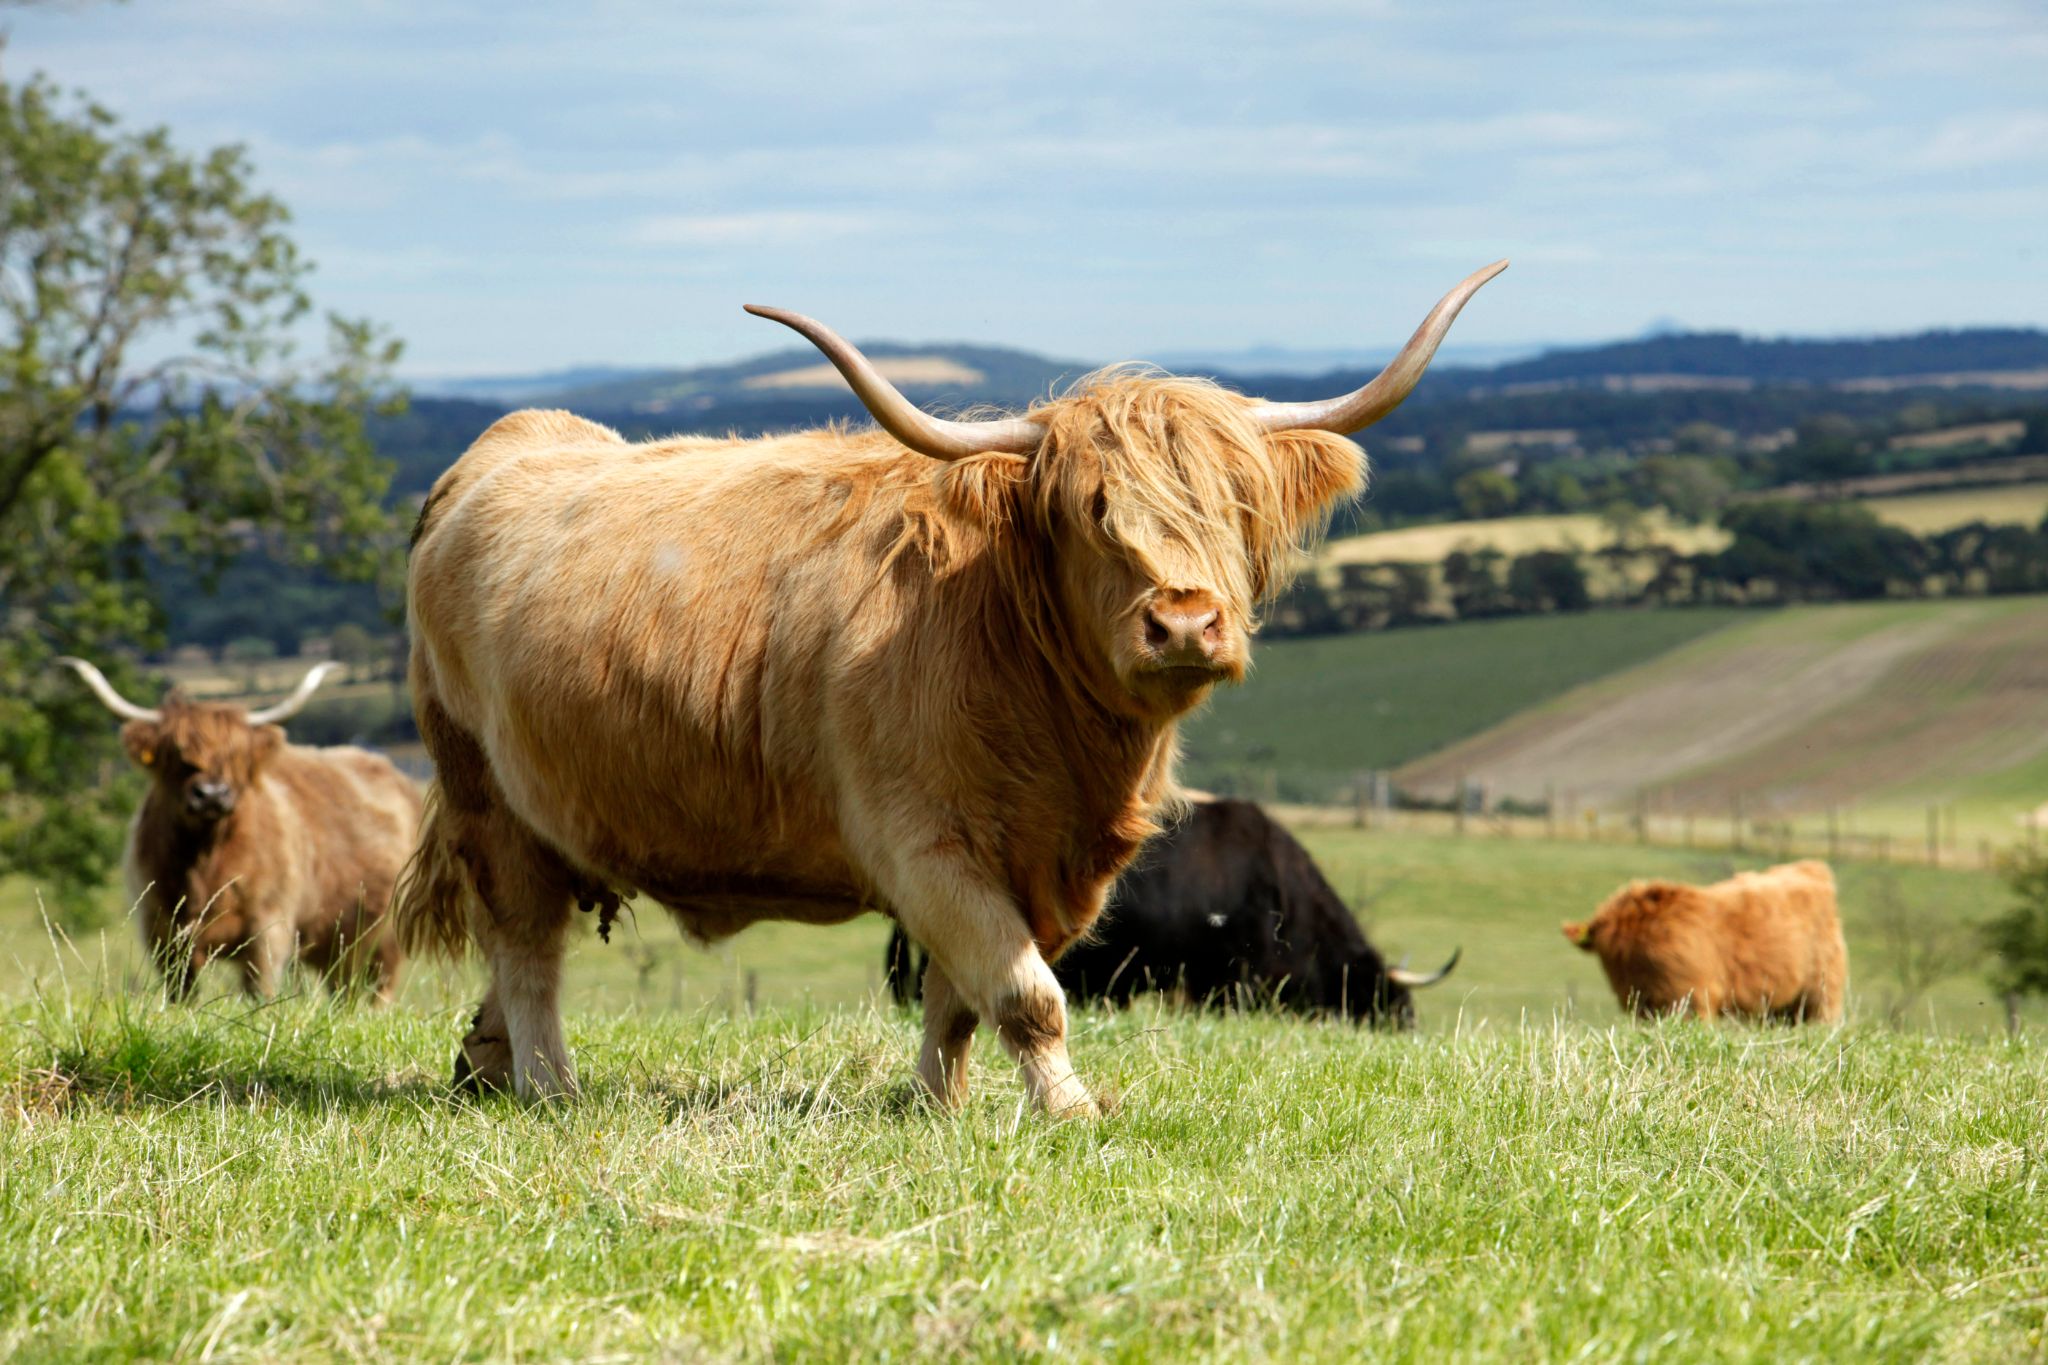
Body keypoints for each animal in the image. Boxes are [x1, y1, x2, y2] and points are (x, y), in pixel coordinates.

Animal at [58, 657, 421, 1002]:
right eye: (177, 755)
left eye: (236, 758)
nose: (211, 794)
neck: (204, 862)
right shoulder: (162, 932)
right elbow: (181, 994)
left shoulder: (269, 929)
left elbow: (259, 991)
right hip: (339, 947)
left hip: (385, 940)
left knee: (379, 991)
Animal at [1561, 859, 1847, 1023]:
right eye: (1608, 955)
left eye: (1646, 952)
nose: (1627, 982)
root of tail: (1811, 867)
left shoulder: (1695, 1000)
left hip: (1822, 991)